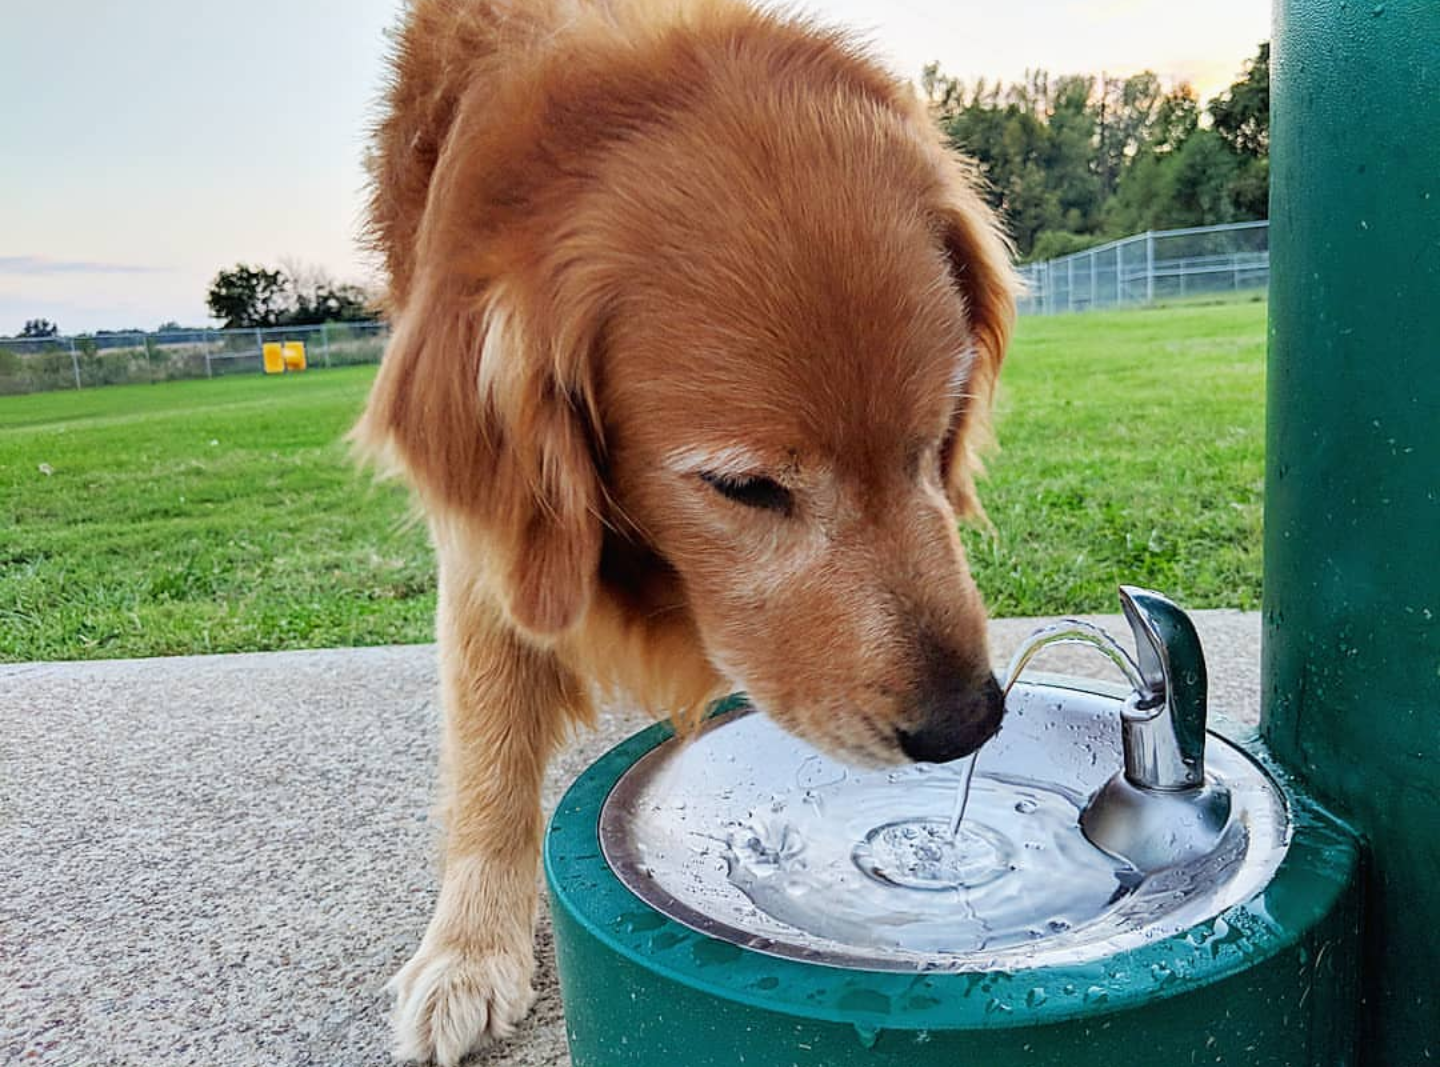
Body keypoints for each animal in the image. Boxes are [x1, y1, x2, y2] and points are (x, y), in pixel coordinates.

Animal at [354, 0, 1019, 1059]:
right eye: (743, 487)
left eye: (934, 440)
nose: (969, 724)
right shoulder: (494, 539)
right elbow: (491, 743)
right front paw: (468, 950)